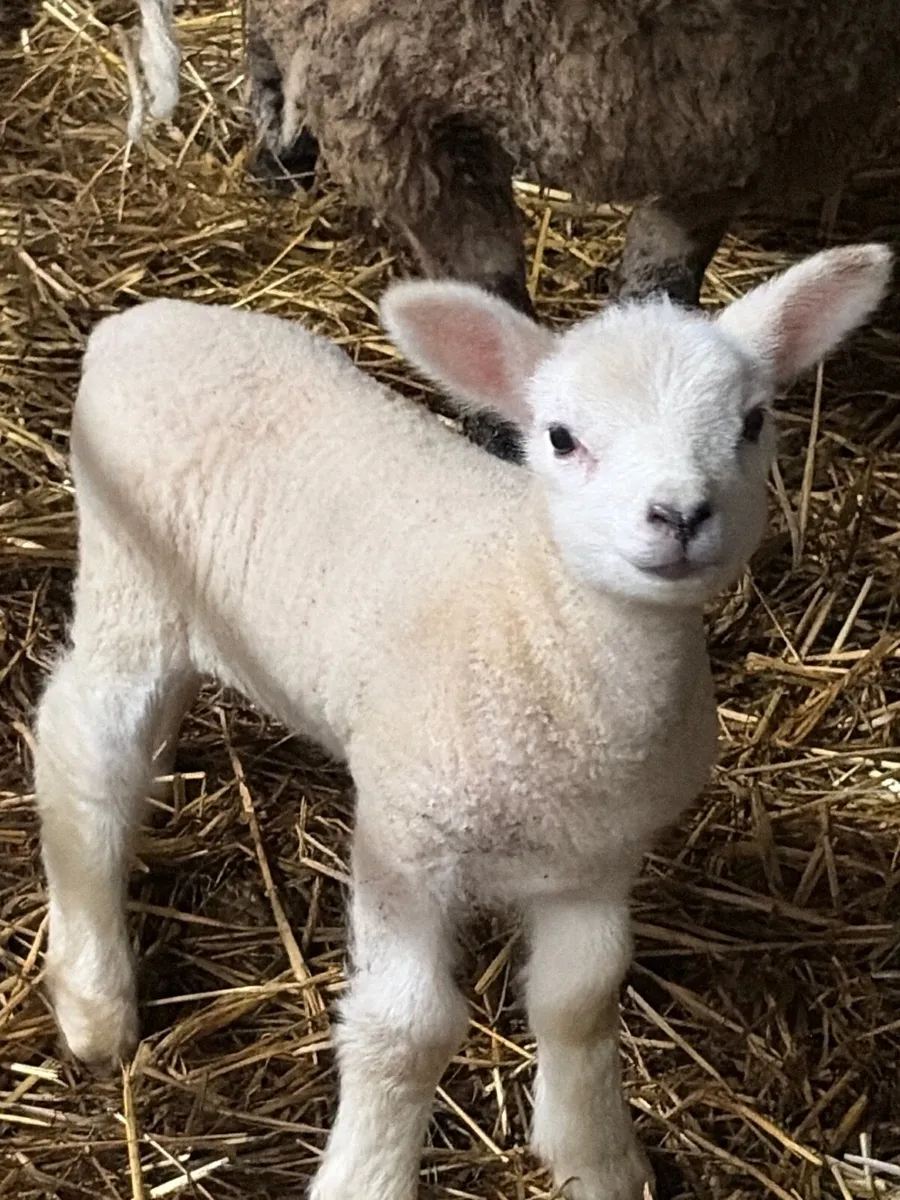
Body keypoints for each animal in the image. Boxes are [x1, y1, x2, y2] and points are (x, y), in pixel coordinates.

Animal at [33, 243, 891, 1200]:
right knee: (85, 756)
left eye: (751, 421)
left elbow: (581, 1001)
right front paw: (367, 1178)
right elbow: (406, 1033)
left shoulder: (597, 858)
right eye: (561, 437)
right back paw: (93, 999)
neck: (540, 621)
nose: (679, 515)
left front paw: (596, 1159)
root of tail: (135, 324)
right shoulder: (407, 842)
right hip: (129, 581)